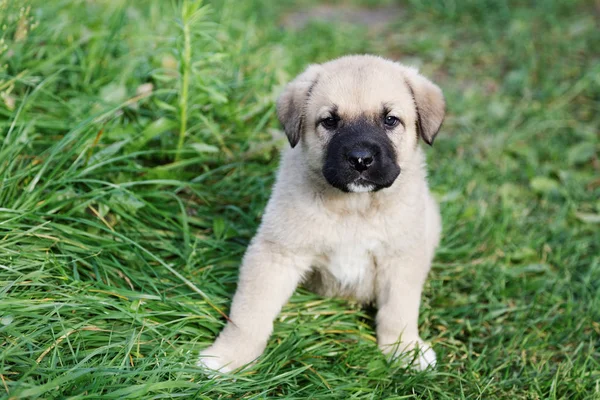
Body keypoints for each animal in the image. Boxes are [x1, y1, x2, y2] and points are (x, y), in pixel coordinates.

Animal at [199, 54, 442, 374]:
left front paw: (405, 349)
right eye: (330, 121)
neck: (354, 208)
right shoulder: (276, 254)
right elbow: (249, 313)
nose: (360, 159)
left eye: (390, 120)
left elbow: (398, 310)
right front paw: (229, 356)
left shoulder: (401, 258)